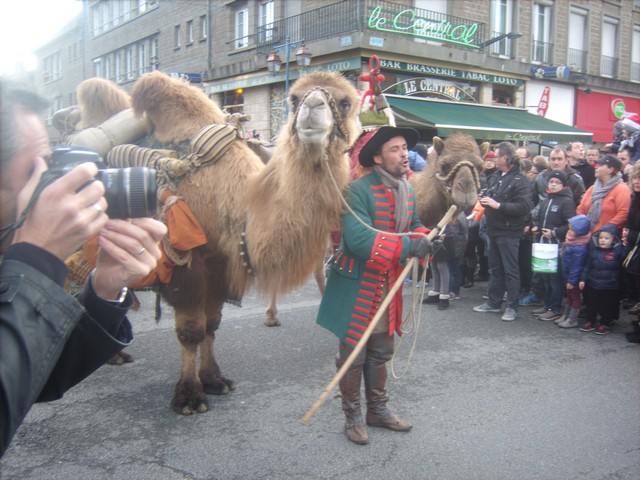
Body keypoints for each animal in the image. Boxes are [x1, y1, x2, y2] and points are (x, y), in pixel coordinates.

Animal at [125, 70, 362, 412]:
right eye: (294, 99)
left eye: (345, 102)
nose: (313, 106)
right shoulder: (189, 265)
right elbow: (191, 330)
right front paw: (189, 396)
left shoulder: (220, 265)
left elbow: (211, 324)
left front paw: (214, 380)